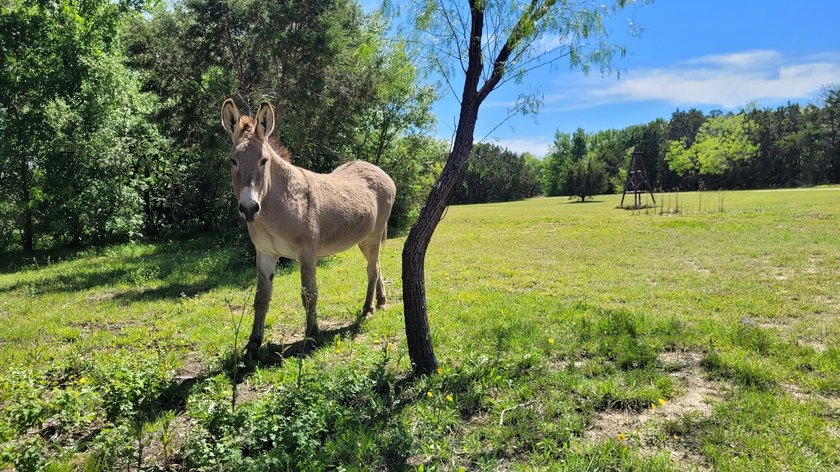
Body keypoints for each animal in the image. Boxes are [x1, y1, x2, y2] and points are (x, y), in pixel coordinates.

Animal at [220, 99, 396, 355]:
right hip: (363, 239)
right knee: (378, 265)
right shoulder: (264, 254)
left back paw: (368, 309)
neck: (275, 208)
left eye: (263, 161)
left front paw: (312, 334)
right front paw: (253, 343)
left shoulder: (307, 253)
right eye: (233, 161)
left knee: (372, 270)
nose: (249, 208)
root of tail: (379, 170)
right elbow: (261, 298)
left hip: (373, 236)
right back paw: (381, 302)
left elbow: (309, 295)